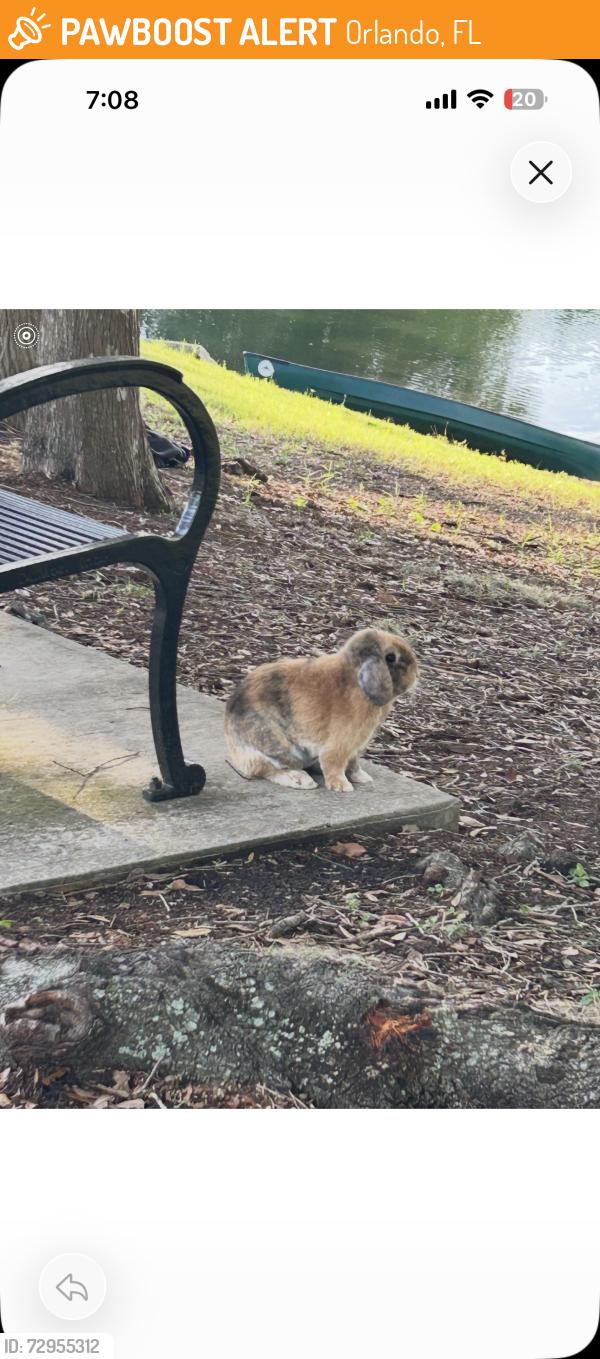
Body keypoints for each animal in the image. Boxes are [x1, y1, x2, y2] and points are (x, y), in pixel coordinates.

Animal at [224, 627, 418, 793]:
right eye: (391, 657)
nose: (416, 674)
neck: (355, 679)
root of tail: (233, 749)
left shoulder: (356, 747)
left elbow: (353, 763)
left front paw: (362, 778)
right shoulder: (342, 742)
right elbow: (333, 762)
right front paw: (342, 786)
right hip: (277, 749)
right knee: (265, 769)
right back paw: (301, 780)